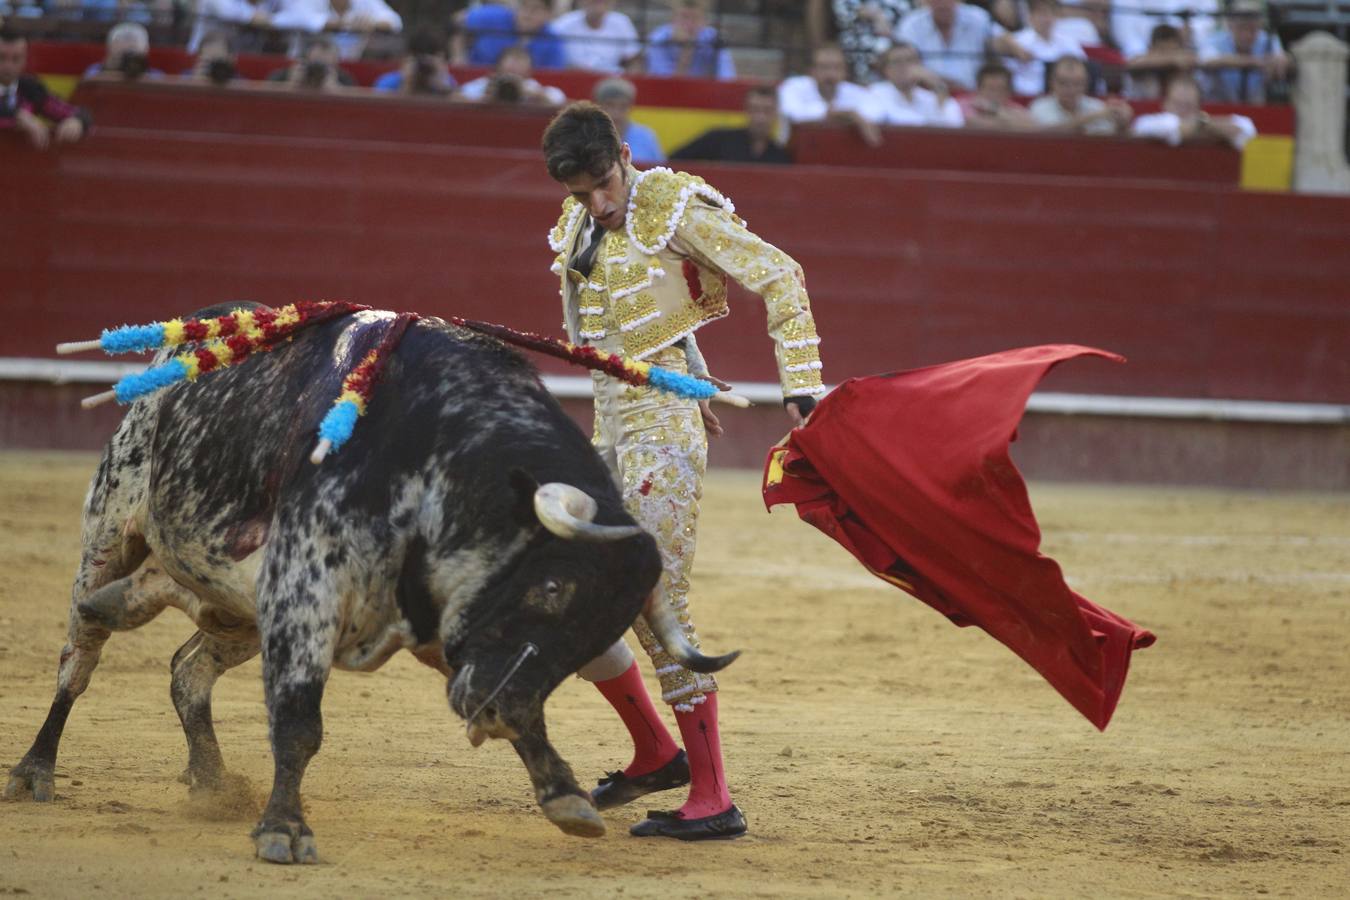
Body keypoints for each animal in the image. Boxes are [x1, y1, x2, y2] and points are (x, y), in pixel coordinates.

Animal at [2, 306, 739, 863]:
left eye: (598, 631)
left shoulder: (441, 631)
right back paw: (36, 768)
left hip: (239, 610)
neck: (440, 457)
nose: (490, 711)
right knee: (79, 655)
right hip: (111, 532)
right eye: (552, 588)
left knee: (187, 668)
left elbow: (523, 702)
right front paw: (284, 831)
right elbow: (299, 721)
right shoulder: (306, 587)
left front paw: (565, 796)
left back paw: (211, 782)